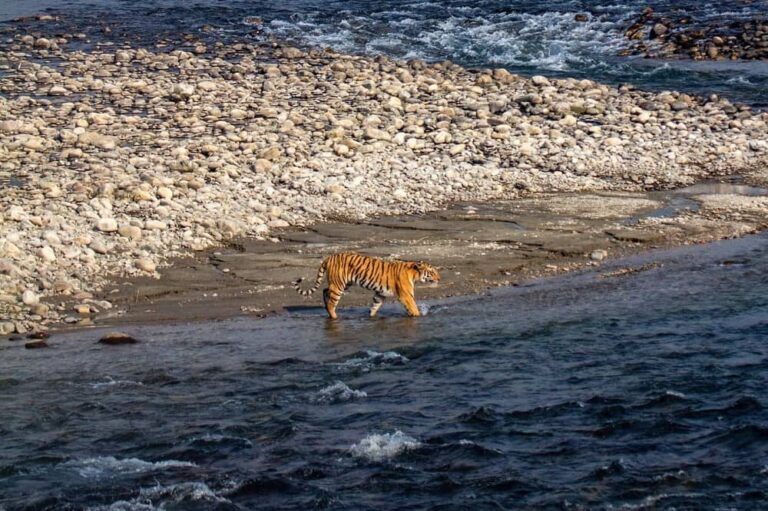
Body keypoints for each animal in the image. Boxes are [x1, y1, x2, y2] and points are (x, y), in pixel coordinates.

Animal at [293, 252, 441, 319]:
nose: (439, 278)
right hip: (339, 285)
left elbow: (375, 306)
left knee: (325, 290)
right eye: (432, 272)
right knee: (331, 303)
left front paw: (371, 316)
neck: (414, 274)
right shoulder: (406, 296)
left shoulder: (380, 294)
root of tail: (329, 257)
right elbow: (414, 308)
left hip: (343, 284)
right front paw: (418, 316)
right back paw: (334, 317)